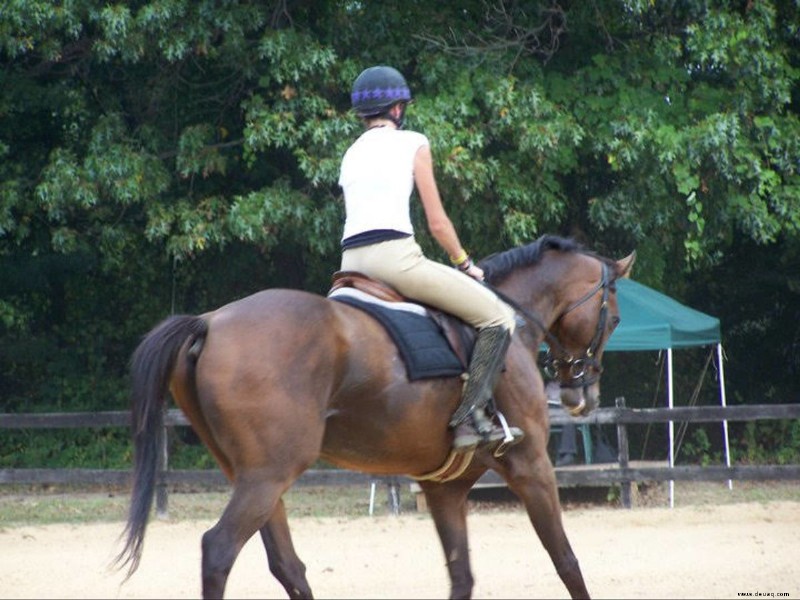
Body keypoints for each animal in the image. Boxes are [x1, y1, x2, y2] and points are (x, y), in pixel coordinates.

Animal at [115, 234, 636, 600]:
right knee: (219, 550)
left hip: (256, 477)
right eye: (613, 319)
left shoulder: (444, 488)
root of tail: (210, 321)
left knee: (287, 565)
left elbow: (461, 575)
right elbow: (566, 560)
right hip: (268, 475)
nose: (581, 393)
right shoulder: (531, 466)